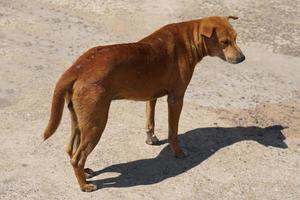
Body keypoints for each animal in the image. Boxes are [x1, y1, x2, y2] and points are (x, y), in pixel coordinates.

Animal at [43, 16, 245, 192]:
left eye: (236, 38)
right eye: (225, 42)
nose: (242, 58)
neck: (188, 38)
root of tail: (77, 68)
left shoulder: (151, 95)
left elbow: (150, 120)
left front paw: (151, 139)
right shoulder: (176, 99)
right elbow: (173, 133)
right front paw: (178, 152)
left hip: (79, 119)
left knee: (71, 150)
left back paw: (85, 172)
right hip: (96, 123)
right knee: (77, 157)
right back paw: (84, 185)